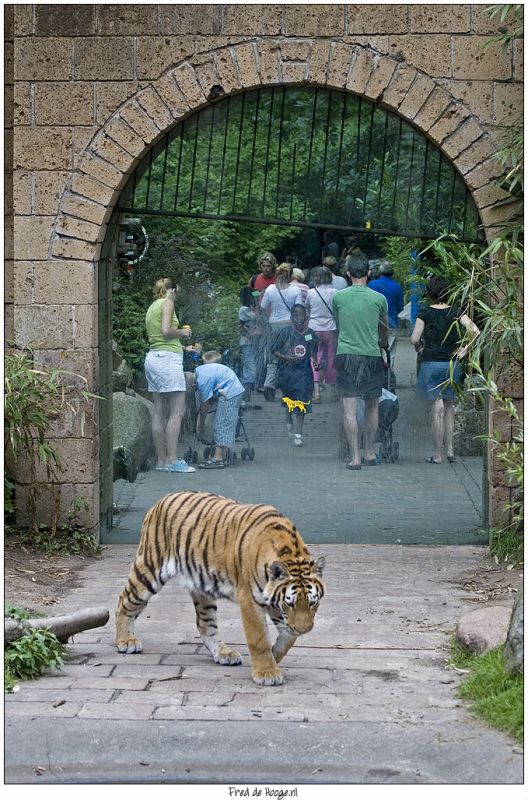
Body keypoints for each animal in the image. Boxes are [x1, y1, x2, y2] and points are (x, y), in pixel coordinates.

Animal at [113, 490, 324, 684]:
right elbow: (259, 638)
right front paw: (267, 672)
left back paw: (224, 653)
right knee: (124, 601)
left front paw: (275, 654)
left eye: (312, 603)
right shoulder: (250, 600)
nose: (304, 630)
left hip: (202, 588)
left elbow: (288, 637)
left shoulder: (273, 602)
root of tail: (161, 500)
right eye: (290, 603)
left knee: (205, 624)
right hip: (148, 570)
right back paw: (126, 641)